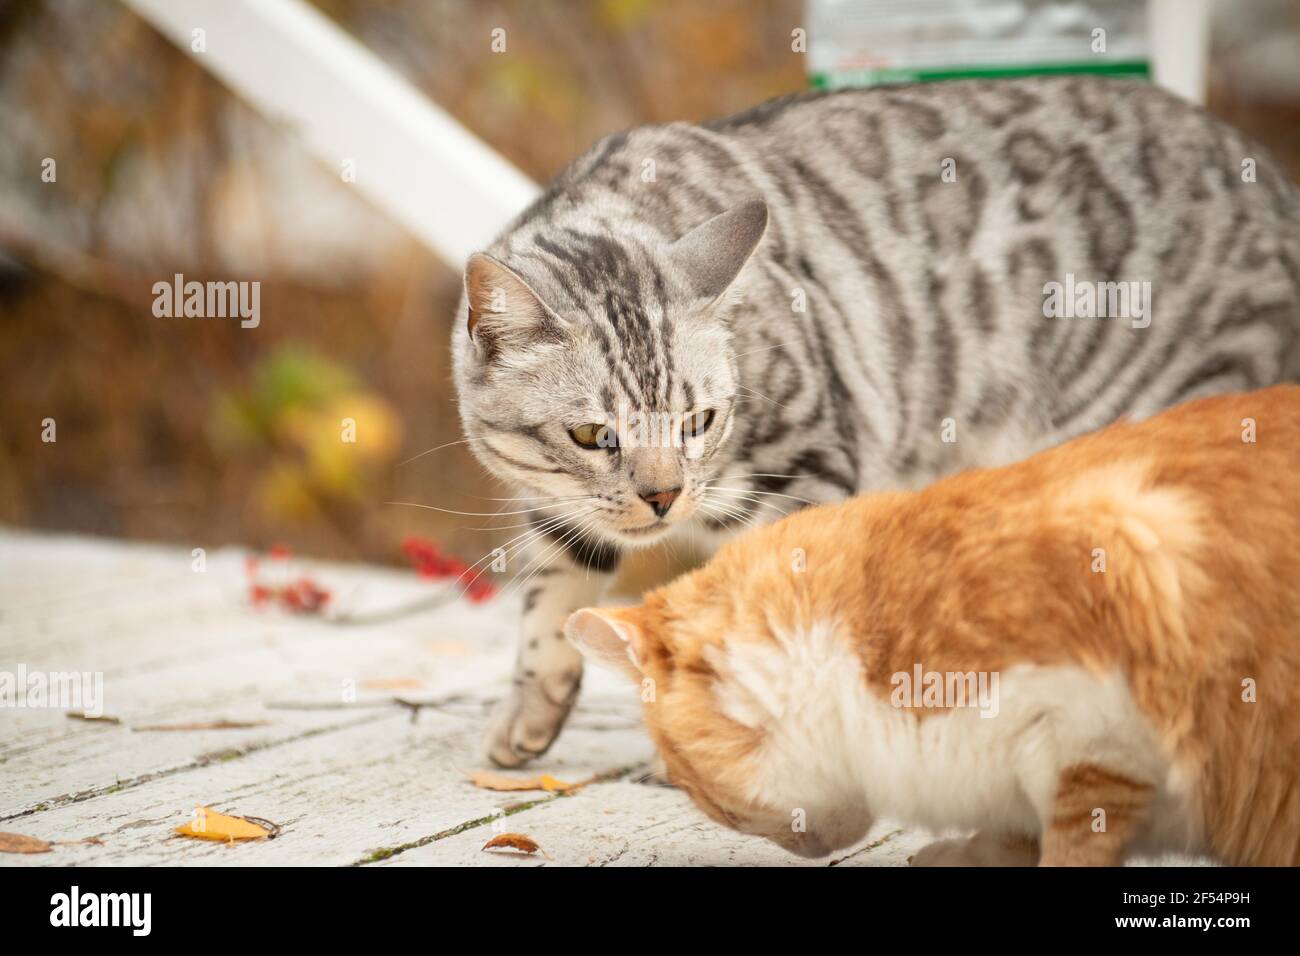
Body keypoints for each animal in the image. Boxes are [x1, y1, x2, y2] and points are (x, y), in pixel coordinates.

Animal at [452, 78, 1300, 775]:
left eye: (698, 420)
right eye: (594, 436)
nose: (664, 498)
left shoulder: (805, 468)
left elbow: (767, 620)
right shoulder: (560, 508)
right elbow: (551, 592)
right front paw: (531, 707)